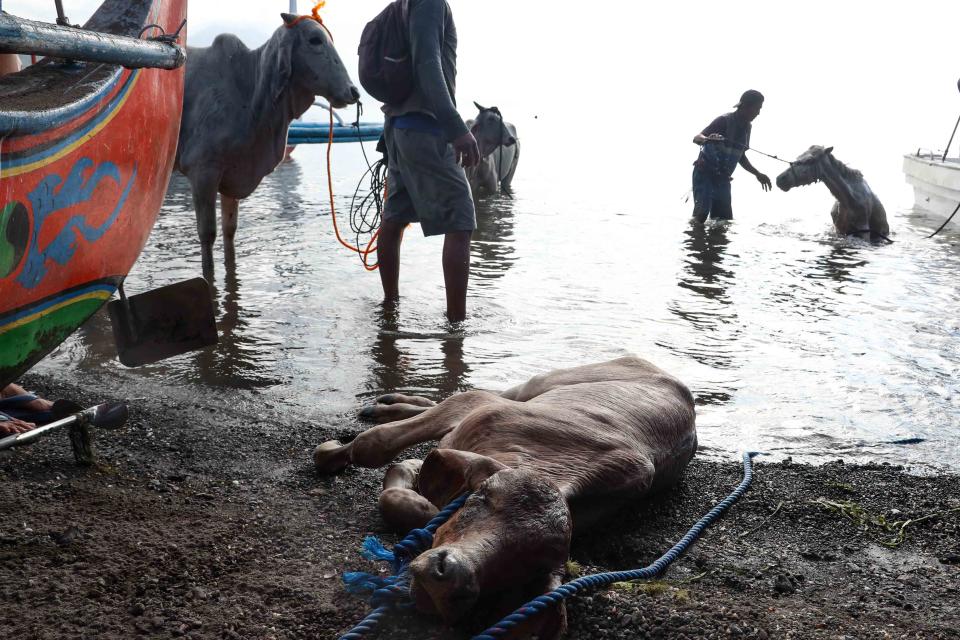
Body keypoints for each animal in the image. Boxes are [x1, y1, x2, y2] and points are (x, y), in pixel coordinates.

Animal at [176, 13, 360, 272]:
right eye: (315, 40)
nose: (353, 91)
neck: (250, 91)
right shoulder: (202, 172)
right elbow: (208, 234)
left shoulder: (233, 176)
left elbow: (230, 231)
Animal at [316, 356, 696, 636]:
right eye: (485, 496)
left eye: (525, 569)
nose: (451, 579)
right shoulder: (475, 408)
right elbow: (373, 444)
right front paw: (333, 452)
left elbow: (406, 486)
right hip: (542, 382)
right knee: (472, 392)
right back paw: (385, 406)